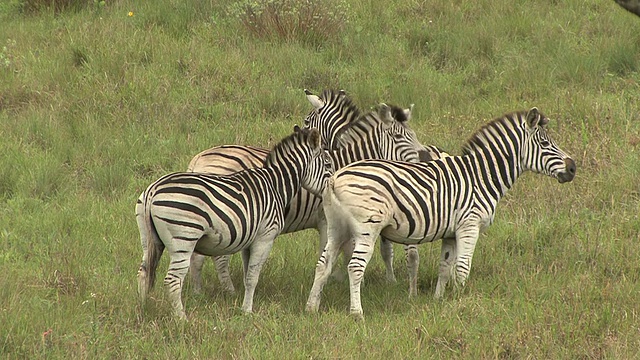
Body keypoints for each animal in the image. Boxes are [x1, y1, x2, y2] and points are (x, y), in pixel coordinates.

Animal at [135, 126, 328, 318]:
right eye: (327, 164)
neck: (275, 185)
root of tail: (153, 190)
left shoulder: (250, 239)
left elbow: (247, 275)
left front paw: (245, 305)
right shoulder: (265, 236)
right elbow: (252, 277)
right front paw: (247, 311)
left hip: (148, 239)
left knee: (144, 272)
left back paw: (144, 310)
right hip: (184, 238)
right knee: (173, 280)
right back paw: (182, 318)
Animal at [185, 90, 428, 296]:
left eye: (413, 135)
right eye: (398, 138)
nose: (422, 160)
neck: (350, 159)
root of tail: (198, 159)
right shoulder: (328, 220)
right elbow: (339, 252)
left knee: (198, 256)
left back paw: (198, 291)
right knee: (218, 258)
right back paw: (229, 292)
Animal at [304, 107, 576, 318]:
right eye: (545, 143)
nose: (573, 167)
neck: (481, 176)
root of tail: (335, 178)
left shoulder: (451, 232)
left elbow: (445, 267)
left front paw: (439, 301)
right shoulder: (469, 225)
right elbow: (462, 268)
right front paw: (461, 301)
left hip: (337, 227)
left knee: (322, 264)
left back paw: (311, 307)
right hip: (366, 228)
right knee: (355, 267)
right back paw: (357, 313)